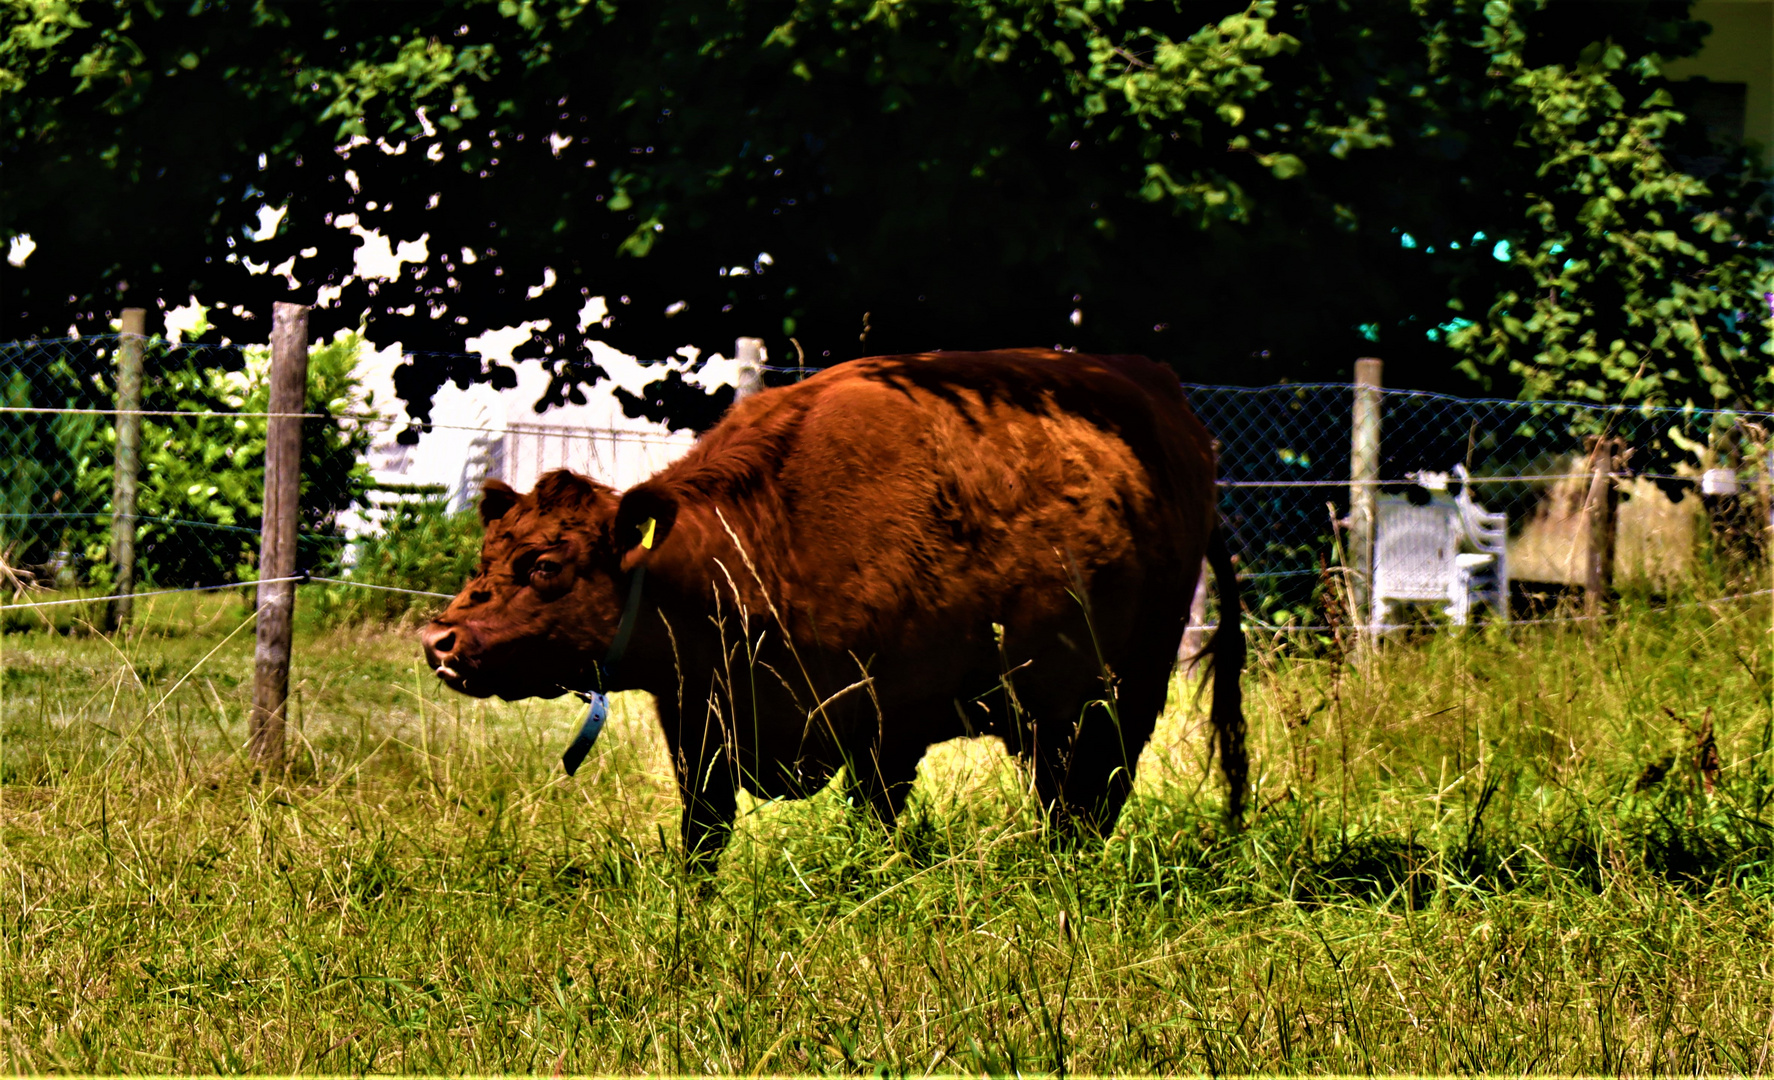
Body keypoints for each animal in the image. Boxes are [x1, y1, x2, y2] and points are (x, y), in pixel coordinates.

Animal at [420, 349, 1241, 861]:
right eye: (486, 557)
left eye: (546, 565)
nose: (441, 639)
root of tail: (1169, 408)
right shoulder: (699, 725)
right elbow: (702, 838)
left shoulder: (890, 729)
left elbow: (870, 826)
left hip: (1117, 694)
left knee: (1086, 801)